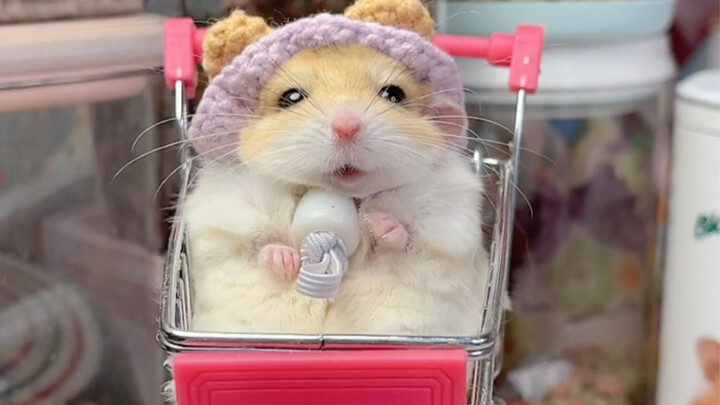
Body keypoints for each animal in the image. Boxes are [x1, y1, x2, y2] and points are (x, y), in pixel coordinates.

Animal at [186, 44, 488, 337]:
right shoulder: (222, 223)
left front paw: (381, 225)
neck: (347, 196)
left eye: (394, 94)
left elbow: (410, 241)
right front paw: (285, 260)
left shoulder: (448, 221)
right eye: (291, 97)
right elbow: (254, 246)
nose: (346, 126)